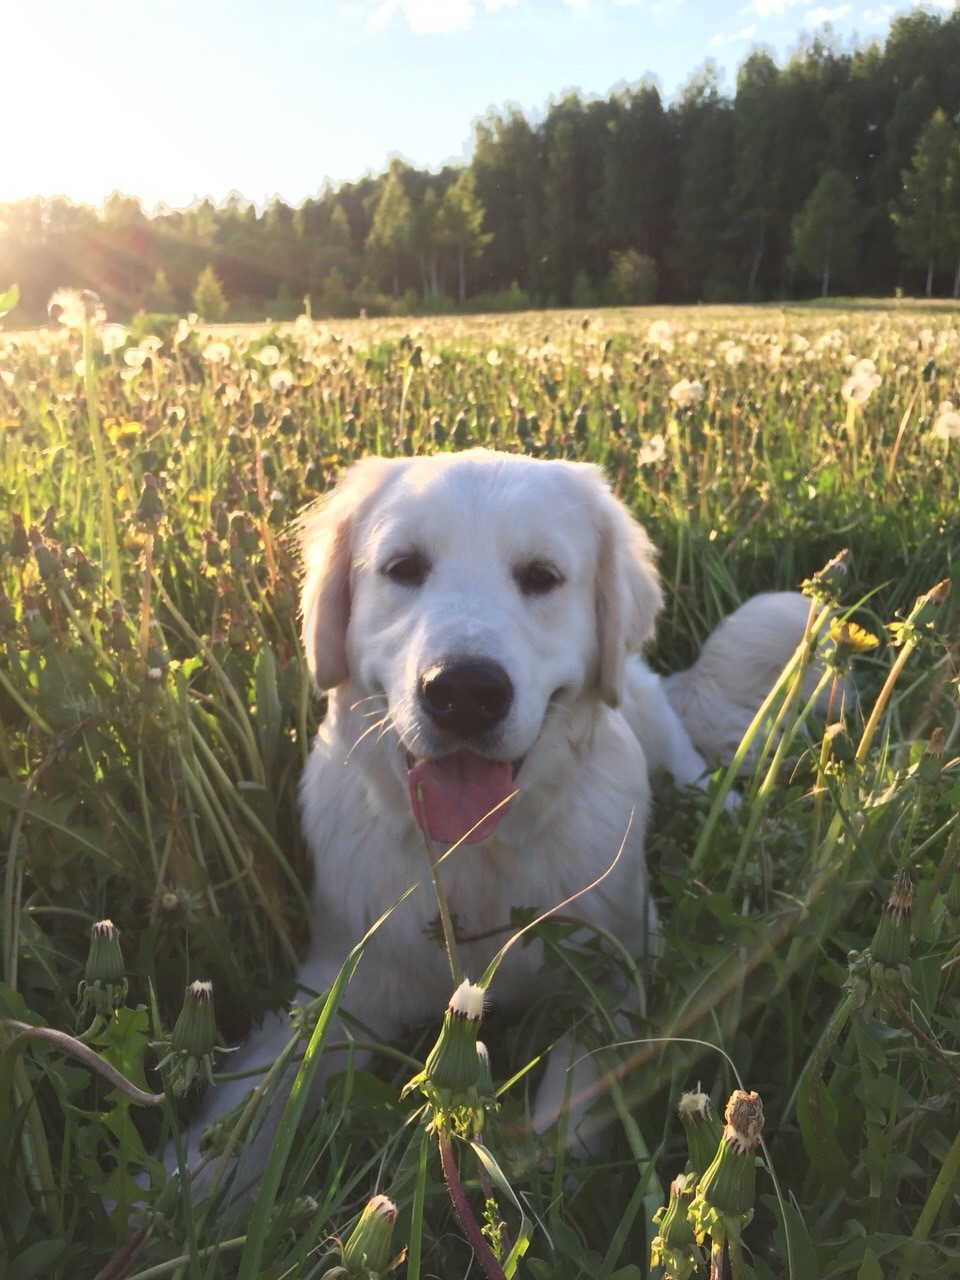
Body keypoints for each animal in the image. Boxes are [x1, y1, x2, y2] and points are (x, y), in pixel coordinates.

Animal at [175, 448, 829, 1187]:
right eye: (404, 567)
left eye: (541, 576)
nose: (463, 692)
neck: (473, 855)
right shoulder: (336, 982)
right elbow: (254, 1105)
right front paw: (171, 1187)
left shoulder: (623, 967)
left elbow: (578, 1088)